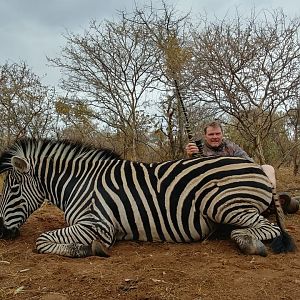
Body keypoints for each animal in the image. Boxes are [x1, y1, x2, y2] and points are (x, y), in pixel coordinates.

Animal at [0, 138, 296, 258]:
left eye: (12, 189)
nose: (2, 232)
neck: (80, 184)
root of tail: (258, 167)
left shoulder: (98, 226)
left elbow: (41, 240)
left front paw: (86, 250)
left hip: (222, 204)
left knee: (266, 228)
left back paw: (248, 243)